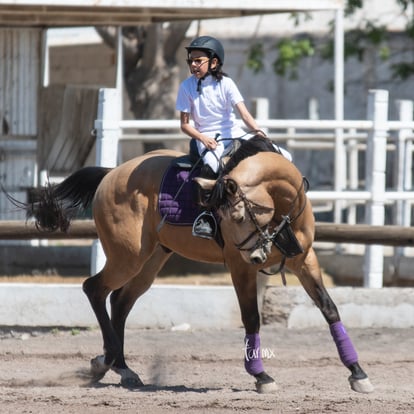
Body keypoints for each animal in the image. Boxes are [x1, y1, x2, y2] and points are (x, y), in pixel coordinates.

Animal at [21, 137, 374, 394]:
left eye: (240, 215)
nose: (256, 258)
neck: (282, 211)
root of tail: (112, 173)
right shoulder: (240, 268)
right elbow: (251, 318)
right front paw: (261, 376)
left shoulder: (305, 259)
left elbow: (329, 308)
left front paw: (357, 372)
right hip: (127, 257)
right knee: (95, 289)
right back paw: (105, 360)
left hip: (150, 261)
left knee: (120, 301)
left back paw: (123, 367)